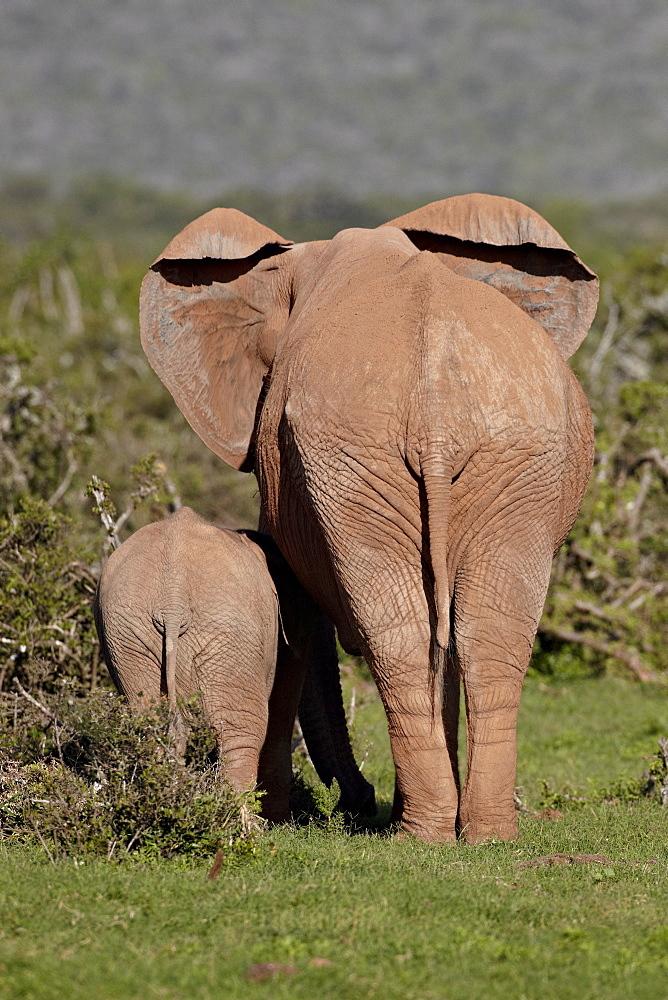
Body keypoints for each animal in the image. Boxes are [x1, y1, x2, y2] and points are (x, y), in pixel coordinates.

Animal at [138, 195, 596, 844]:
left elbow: (296, 612)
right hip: (471, 456)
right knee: (473, 629)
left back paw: (428, 832)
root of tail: (436, 408)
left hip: (410, 456)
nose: (356, 798)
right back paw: (470, 833)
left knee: (419, 630)